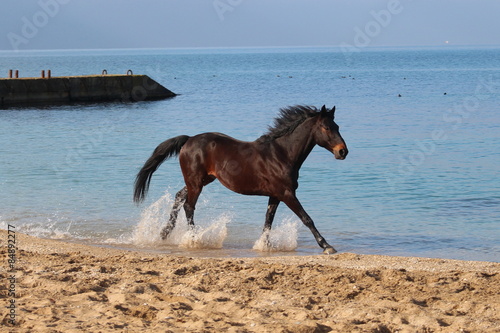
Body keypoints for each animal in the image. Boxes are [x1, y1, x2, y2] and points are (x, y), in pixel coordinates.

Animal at [135, 105, 350, 253]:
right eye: (326, 127)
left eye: (337, 126)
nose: (343, 151)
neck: (282, 154)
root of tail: (188, 140)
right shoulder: (287, 193)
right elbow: (307, 218)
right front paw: (327, 246)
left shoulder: (275, 195)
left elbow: (268, 220)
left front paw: (264, 245)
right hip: (196, 183)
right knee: (189, 205)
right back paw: (194, 238)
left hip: (201, 180)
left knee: (179, 196)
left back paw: (164, 233)